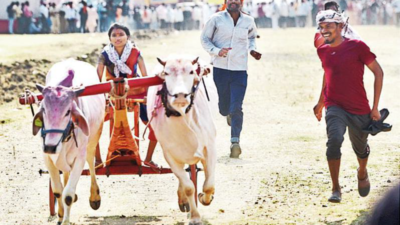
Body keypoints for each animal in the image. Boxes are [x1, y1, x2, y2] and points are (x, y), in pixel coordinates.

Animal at [32, 59, 104, 224]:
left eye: (67, 112)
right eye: (43, 109)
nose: (50, 147)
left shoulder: (79, 159)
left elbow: (68, 196)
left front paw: (65, 219)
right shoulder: (47, 158)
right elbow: (58, 191)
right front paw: (60, 215)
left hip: (93, 140)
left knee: (91, 163)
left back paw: (94, 197)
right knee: (65, 173)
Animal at [146, 55, 216, 224]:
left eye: (191, 71)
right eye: (166, 72)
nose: (180, 96)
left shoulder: (210, 148)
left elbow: (208, 185)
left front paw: (204, 198)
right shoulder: (170, 156)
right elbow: (189, 187)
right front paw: (195, 216)